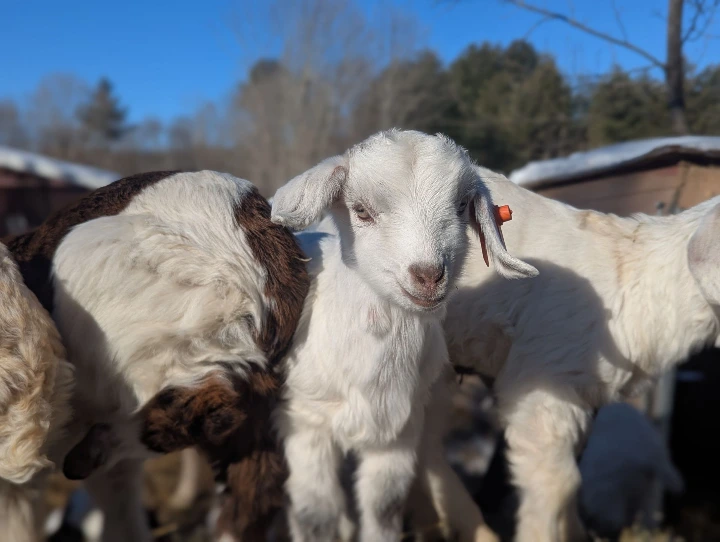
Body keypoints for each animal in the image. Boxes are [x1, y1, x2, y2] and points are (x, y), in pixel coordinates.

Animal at [268, 129, 537, 542]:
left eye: (461, 205)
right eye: (361, 211)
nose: (428, 275)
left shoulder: (397, 433)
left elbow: (384, 509)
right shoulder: (305, 423)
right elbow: (316, 517)